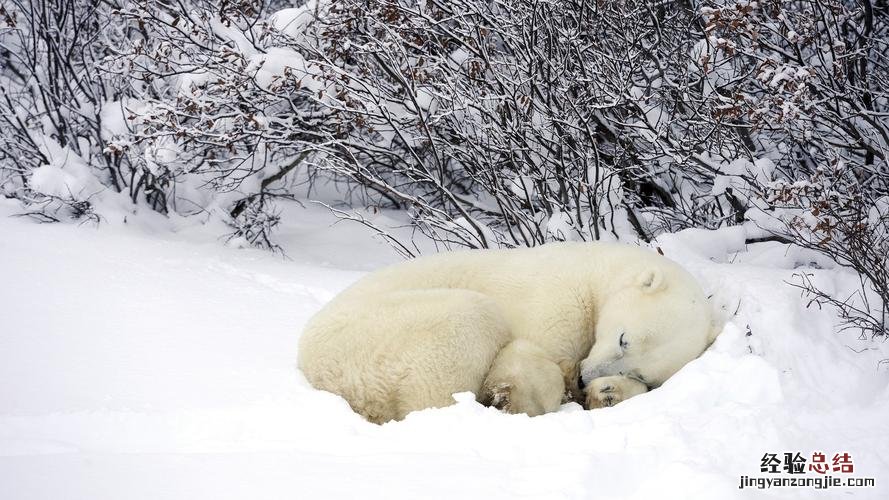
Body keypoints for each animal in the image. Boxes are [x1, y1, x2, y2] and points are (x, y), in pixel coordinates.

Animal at [294, 242, 720, 422]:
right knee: (467, 323)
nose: (586, 378)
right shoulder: (557, 298)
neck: (596, 271)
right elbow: (529, 354)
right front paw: (518, 397)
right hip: (379, 333)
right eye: (622, 338)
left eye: (639, 370)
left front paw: (609, 393)